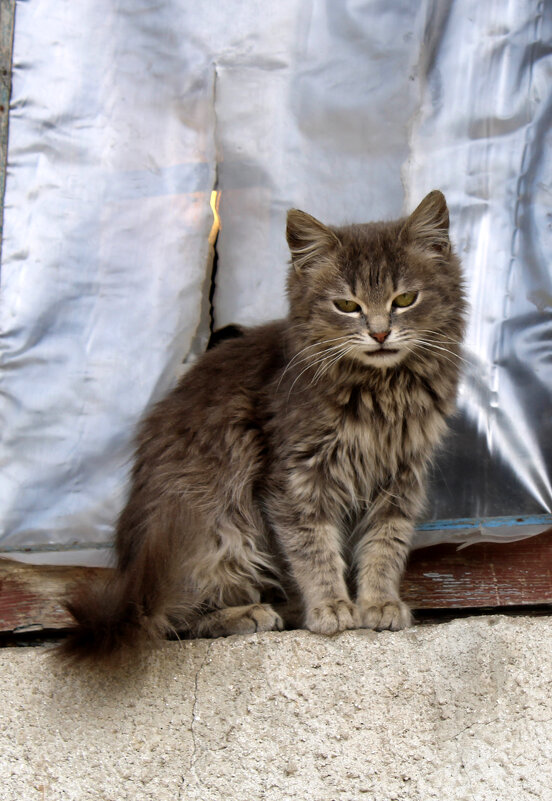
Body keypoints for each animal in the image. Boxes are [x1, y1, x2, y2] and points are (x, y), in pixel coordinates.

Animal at [59, 189, 466, 664]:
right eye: (347, 306)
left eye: (405, 300)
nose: (381, 334)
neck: (382, 393)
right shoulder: (294, 479)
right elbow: (313, 551)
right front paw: (330, 607)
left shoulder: (401, 477)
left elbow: (385, 545)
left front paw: (378, 603)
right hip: (216, 526)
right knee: (167, 621)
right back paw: (249, 614)